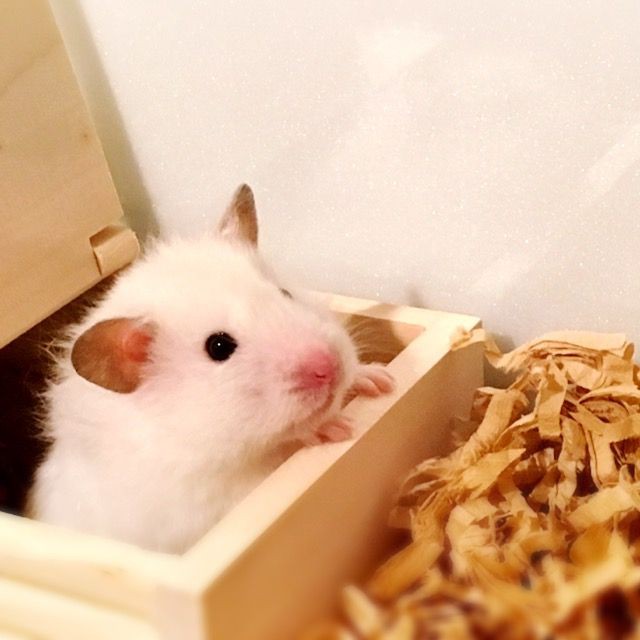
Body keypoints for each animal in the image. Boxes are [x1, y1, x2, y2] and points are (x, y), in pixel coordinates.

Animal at [29, 185, 394, 553]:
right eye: (219, 347)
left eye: (285, 293)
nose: (329, 366)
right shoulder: (211, 505)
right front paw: (330, 430)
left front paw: (379, 380)